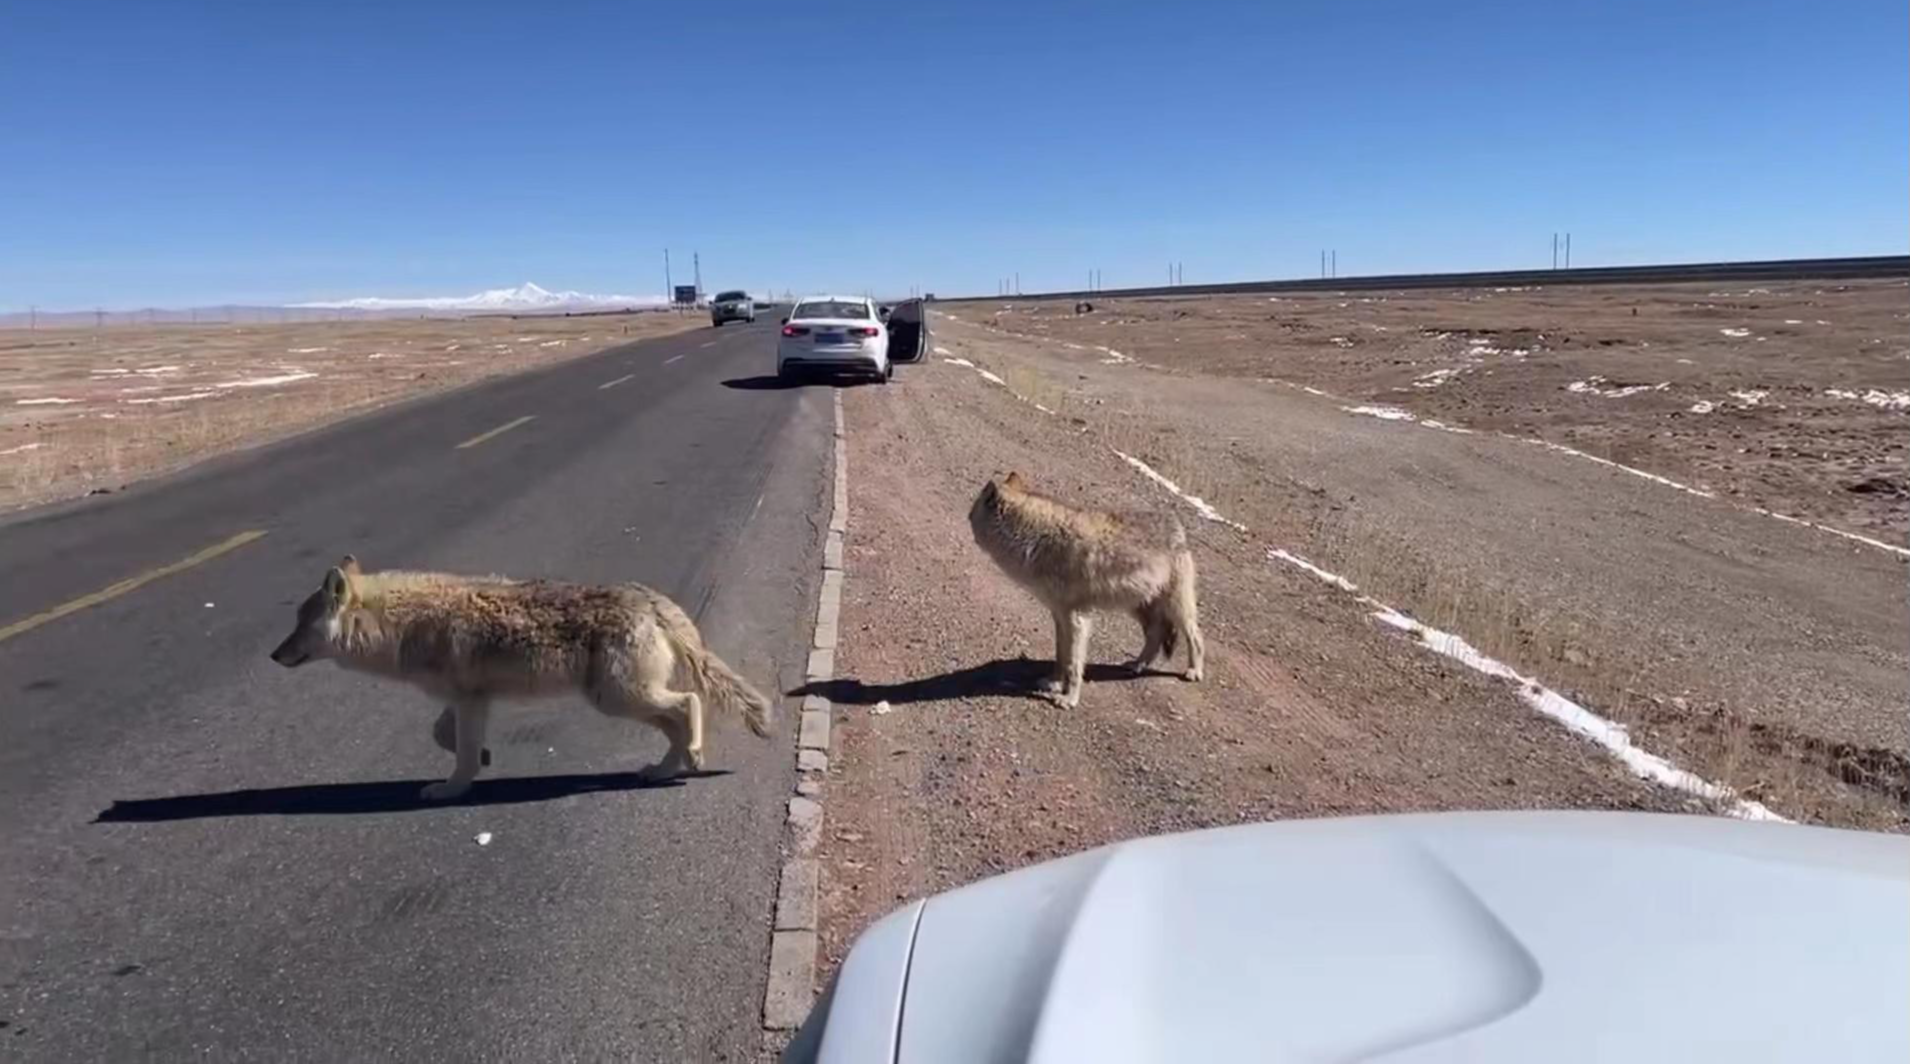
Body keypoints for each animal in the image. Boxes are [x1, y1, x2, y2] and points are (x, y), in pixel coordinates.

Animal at [271, 557, 775, 794]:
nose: (274, 655)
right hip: (624, 700)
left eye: (298, 625)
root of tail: (653, 600)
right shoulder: (469, 699)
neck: (402, 623)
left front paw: (451, 789)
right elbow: (445, 737)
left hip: (617, 699)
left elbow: (461, 754)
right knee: (676, 723)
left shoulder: (469, 699)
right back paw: (663, 769)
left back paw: (693, 755)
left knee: (690, 704)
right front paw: (483, 760)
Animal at [970, 473, 1207, 706]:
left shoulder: (1077, 619)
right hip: (1138, 606)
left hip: (1176, 608)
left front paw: (1069, 698)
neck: (1039, 538)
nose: (967, 517)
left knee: (1195, 636)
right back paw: (1137, 665)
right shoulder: (1059, 615)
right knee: (1155, 635)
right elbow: (1061, 656)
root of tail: (1178, 526)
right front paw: (1054, 683)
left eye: (972, 513)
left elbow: (1074, 664)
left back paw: (1194, 671)